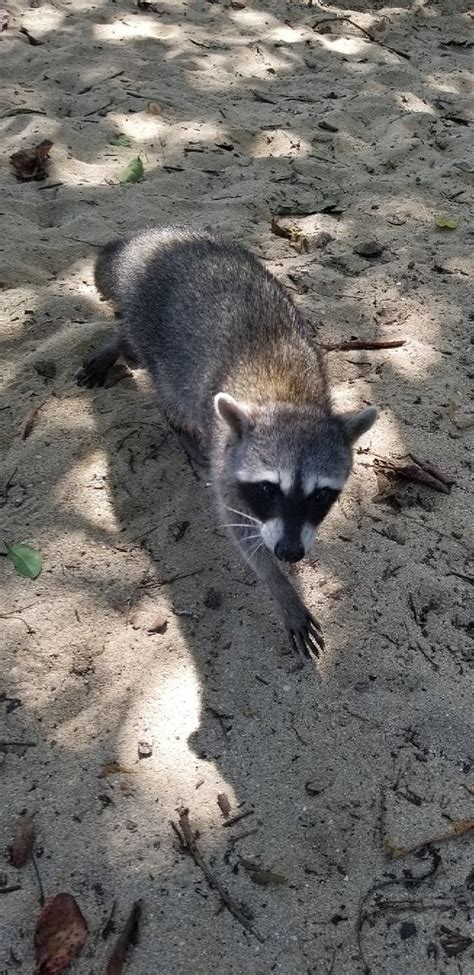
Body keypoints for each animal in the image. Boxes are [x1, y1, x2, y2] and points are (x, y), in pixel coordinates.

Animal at [77, 227, 378, 664]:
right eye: (269, 488)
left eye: (321, 494)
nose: (289, 552)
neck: (286, 399)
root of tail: (156, 241)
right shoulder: (228, 465)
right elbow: (243, 533)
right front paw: (281, 588)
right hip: (159, 340)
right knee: (159, 377)